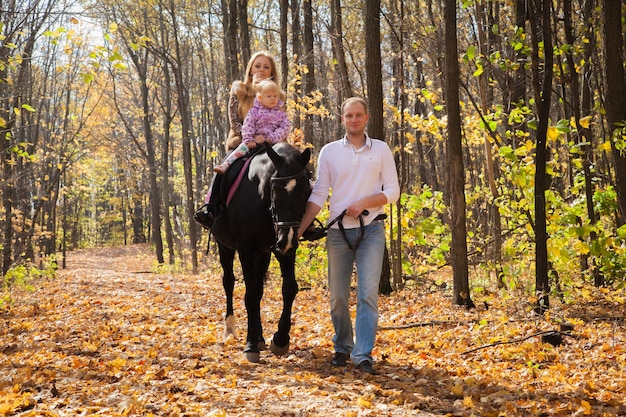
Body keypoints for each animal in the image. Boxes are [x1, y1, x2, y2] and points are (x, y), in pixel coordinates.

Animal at [211, 141, 310, 362]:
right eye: (276, 190)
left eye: (306, 190)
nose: (287, 239)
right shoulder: (246, 250)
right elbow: (250, 295)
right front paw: (250, 346)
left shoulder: (282, 249)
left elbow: (288, 288)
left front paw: (280, 339)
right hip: (225, 246)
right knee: (229, 282)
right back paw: (230, 330)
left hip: (263, 254)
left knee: (258, 288)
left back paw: (260, 338)